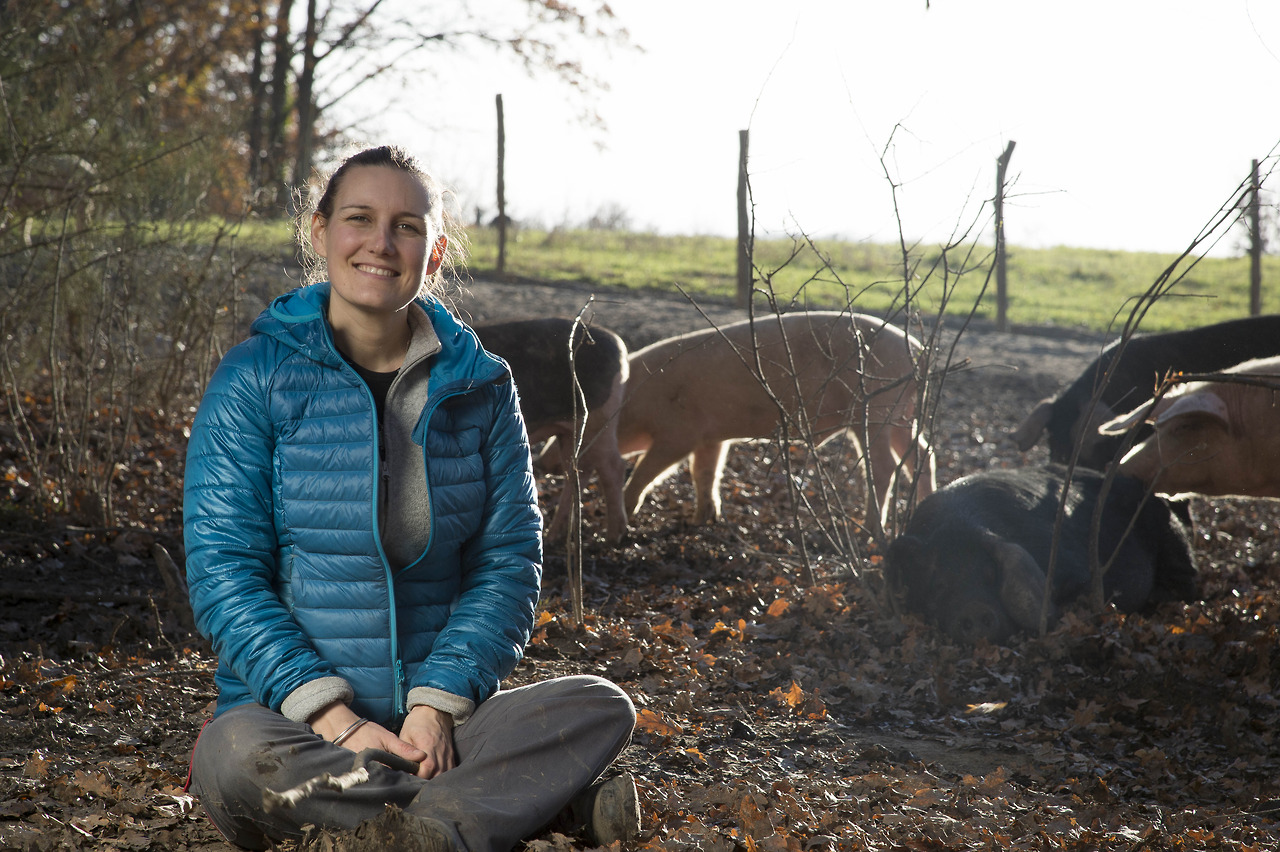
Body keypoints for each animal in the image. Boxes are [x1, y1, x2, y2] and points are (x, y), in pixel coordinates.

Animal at [473, 314, 627, 539]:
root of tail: (619, 344)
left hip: (598, 419)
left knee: (613, 467)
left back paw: (613, 537)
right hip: (571, 432)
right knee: (578, 471)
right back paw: (555, 536)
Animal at [614, 308, 936, 534]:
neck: (634, 401)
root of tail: (918, 352)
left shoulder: (678, 434)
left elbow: (647, 471)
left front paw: (627, 514)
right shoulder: (711, 437)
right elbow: (704, 473)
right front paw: (701, 521)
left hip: (877, 411)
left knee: (885, 466)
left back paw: (869, 531)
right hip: (903, 415)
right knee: (922, 454)